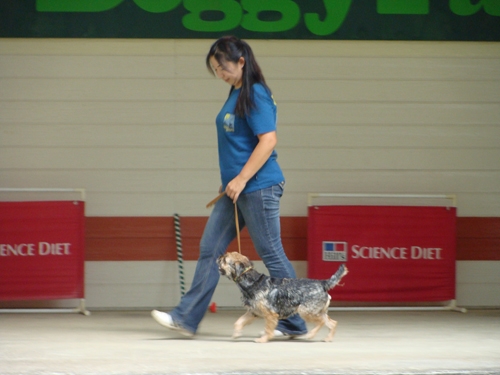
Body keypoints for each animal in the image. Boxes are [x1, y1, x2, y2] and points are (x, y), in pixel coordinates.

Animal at [215, 253, 348, 344]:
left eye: (225, 259)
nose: (219, 256)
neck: (252, 281)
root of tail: (322, 283)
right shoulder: (253, 312)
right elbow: (238, 322)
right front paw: (236, 334)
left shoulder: (270, 314)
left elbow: (268, 329)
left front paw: (263, 339)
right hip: (318, 311)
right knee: (332, 323)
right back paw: (328, 338)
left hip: (305, 311)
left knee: (321, 322)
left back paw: (311, 335)